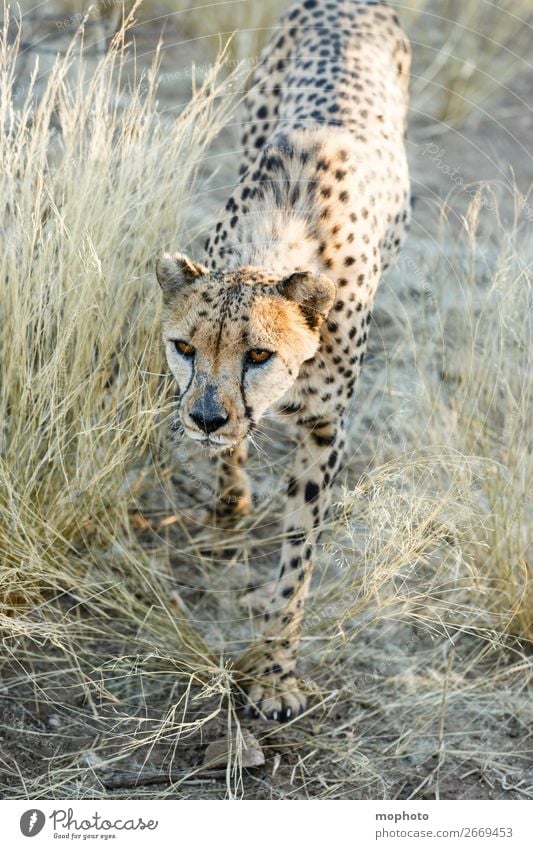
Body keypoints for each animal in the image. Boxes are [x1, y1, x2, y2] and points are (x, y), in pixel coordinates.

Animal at [155, 0, 412, 724]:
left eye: (260, 354)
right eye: (184, 347)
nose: (206, 417)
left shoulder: (327, 428)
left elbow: (298, 558)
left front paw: (274, 671)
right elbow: (231, 461)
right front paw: (229, 510)